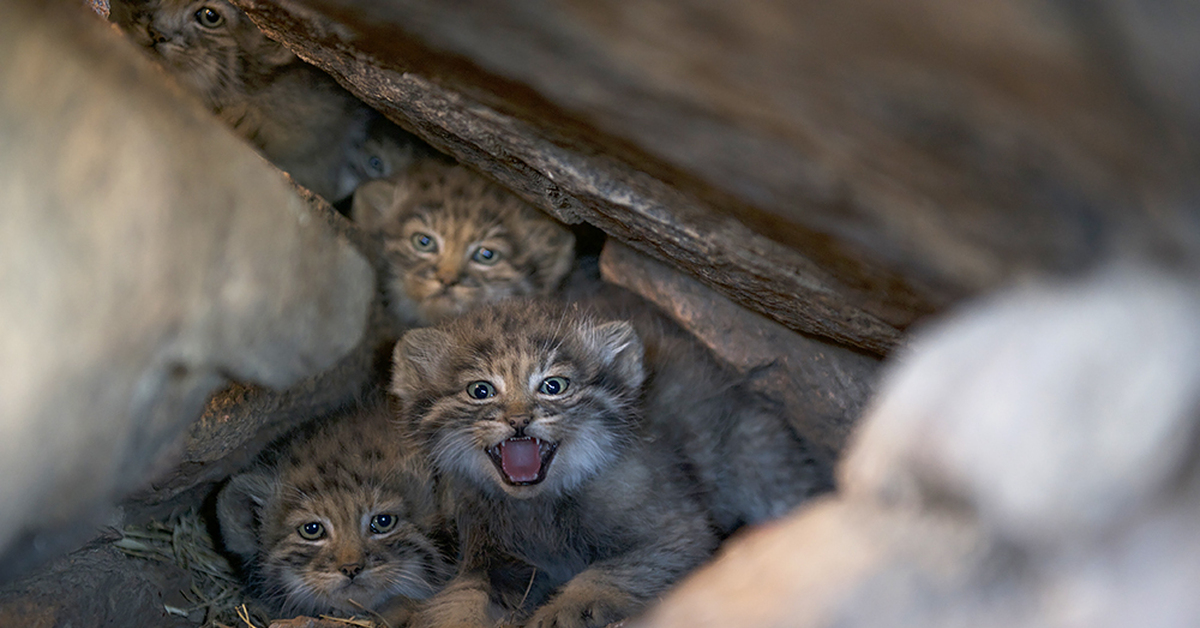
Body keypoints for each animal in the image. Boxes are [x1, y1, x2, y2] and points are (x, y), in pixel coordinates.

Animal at [393, 296, 835, 628]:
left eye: (554, 386)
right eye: (480, 390)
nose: (518, 420)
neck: (540, 509)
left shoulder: (677, 530)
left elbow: (608, 572)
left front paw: (565, 610)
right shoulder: (480, 552)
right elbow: (459, 600)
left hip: (757, 454)